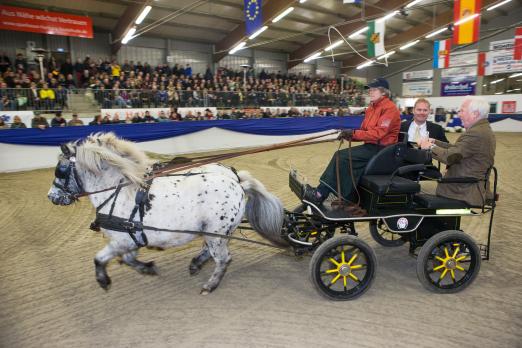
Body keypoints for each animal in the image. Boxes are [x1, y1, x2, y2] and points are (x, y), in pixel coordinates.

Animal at [47, 133, 284, 294]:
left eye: (60, 170)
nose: (51, 196)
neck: (118, 190)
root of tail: (238, 182)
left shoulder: (120, 240)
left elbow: (99, 259)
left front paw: (103, 280)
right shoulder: (132, 238)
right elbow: (129, 259)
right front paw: (148, 268)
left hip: (217, 232)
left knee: (223, 258)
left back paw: (209, 285)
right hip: (212, 231)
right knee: (209, 250)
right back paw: (196, 264)